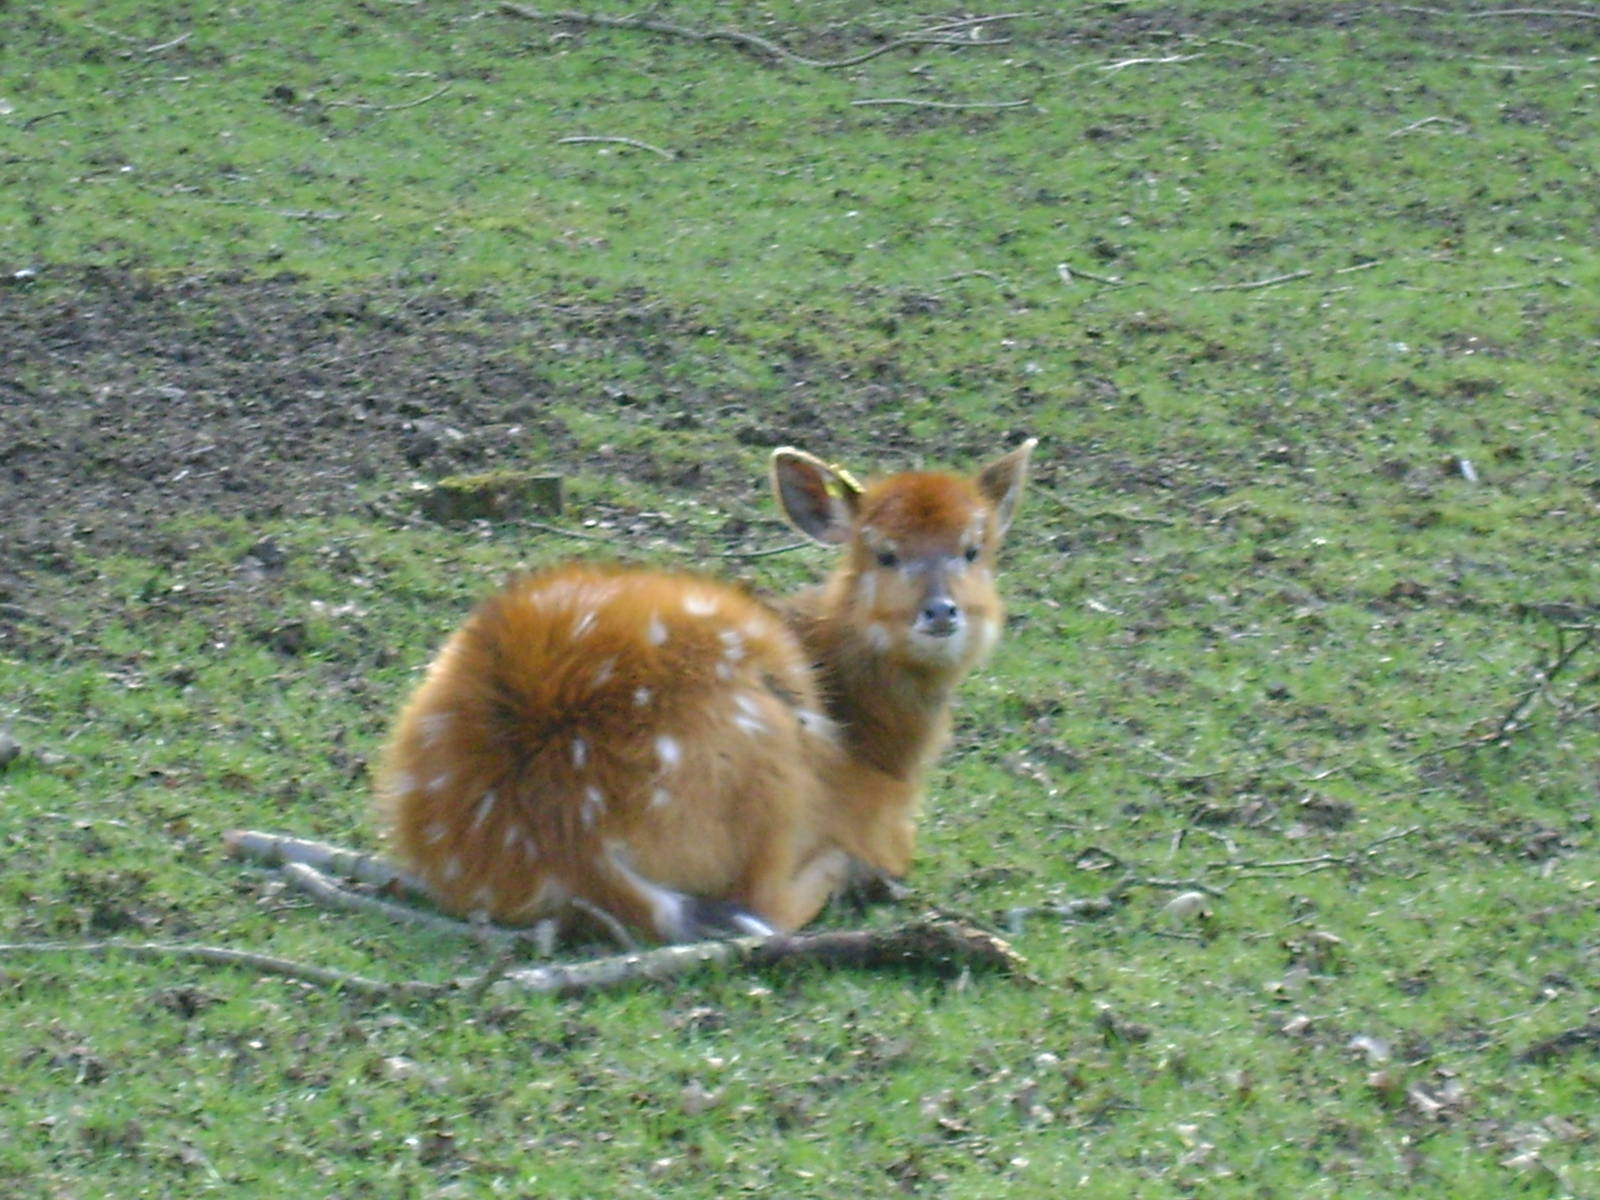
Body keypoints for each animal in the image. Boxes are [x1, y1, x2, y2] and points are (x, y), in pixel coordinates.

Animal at [374, 439, 1035, 943]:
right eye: (883, 553)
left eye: (973, 549)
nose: (940, 611)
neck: (881, 749)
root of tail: (563, 833)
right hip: (764, 746)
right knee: (763, 903)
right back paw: (848, 874)